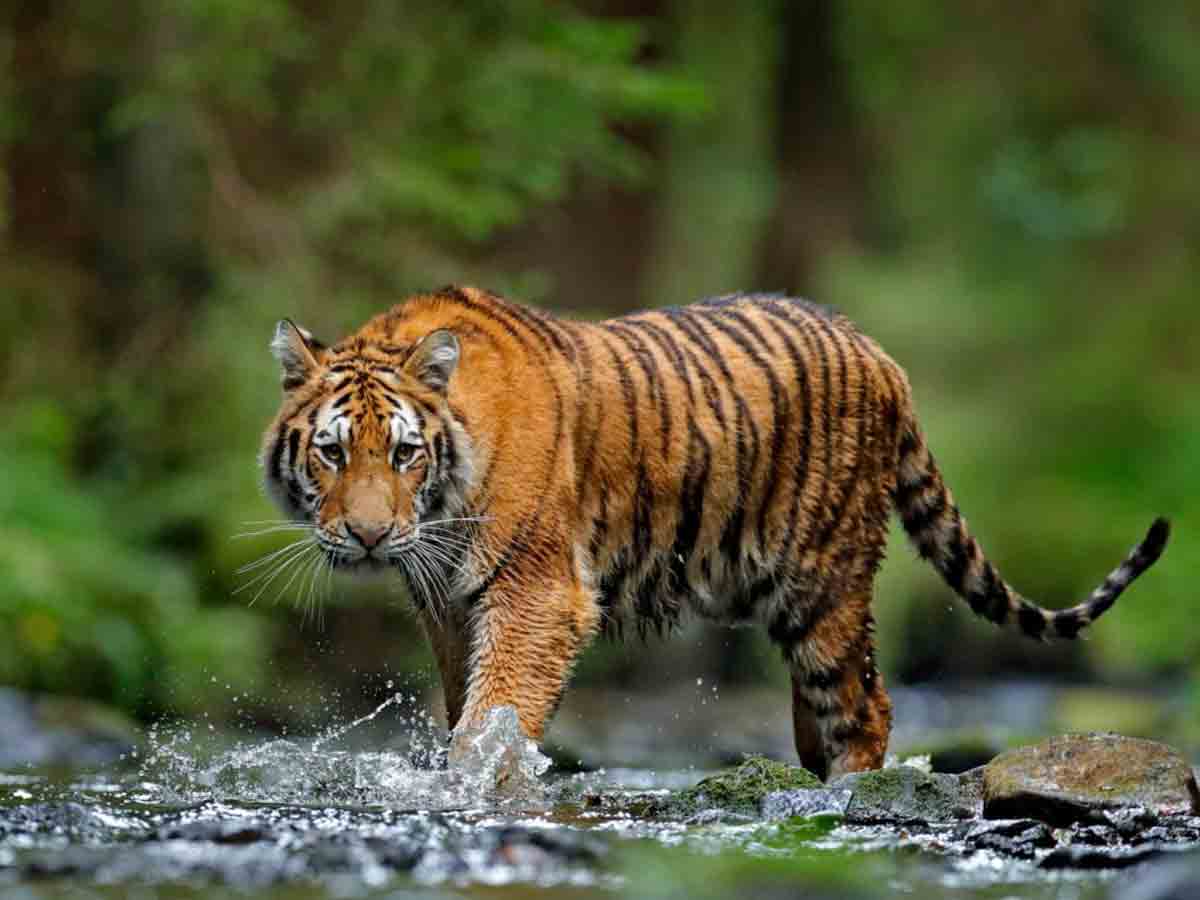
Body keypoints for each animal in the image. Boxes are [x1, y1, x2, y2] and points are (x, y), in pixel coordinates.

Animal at [260, 285, 1169, 779]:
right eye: (333, 453)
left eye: (404, 453)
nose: (369, 537)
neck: (442, 509)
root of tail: (878, 352)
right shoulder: (449, 605)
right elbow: (467, 709)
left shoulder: (536, 594)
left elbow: (496, 715)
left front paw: (478, 785)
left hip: (824, 581)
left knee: (864, 704)